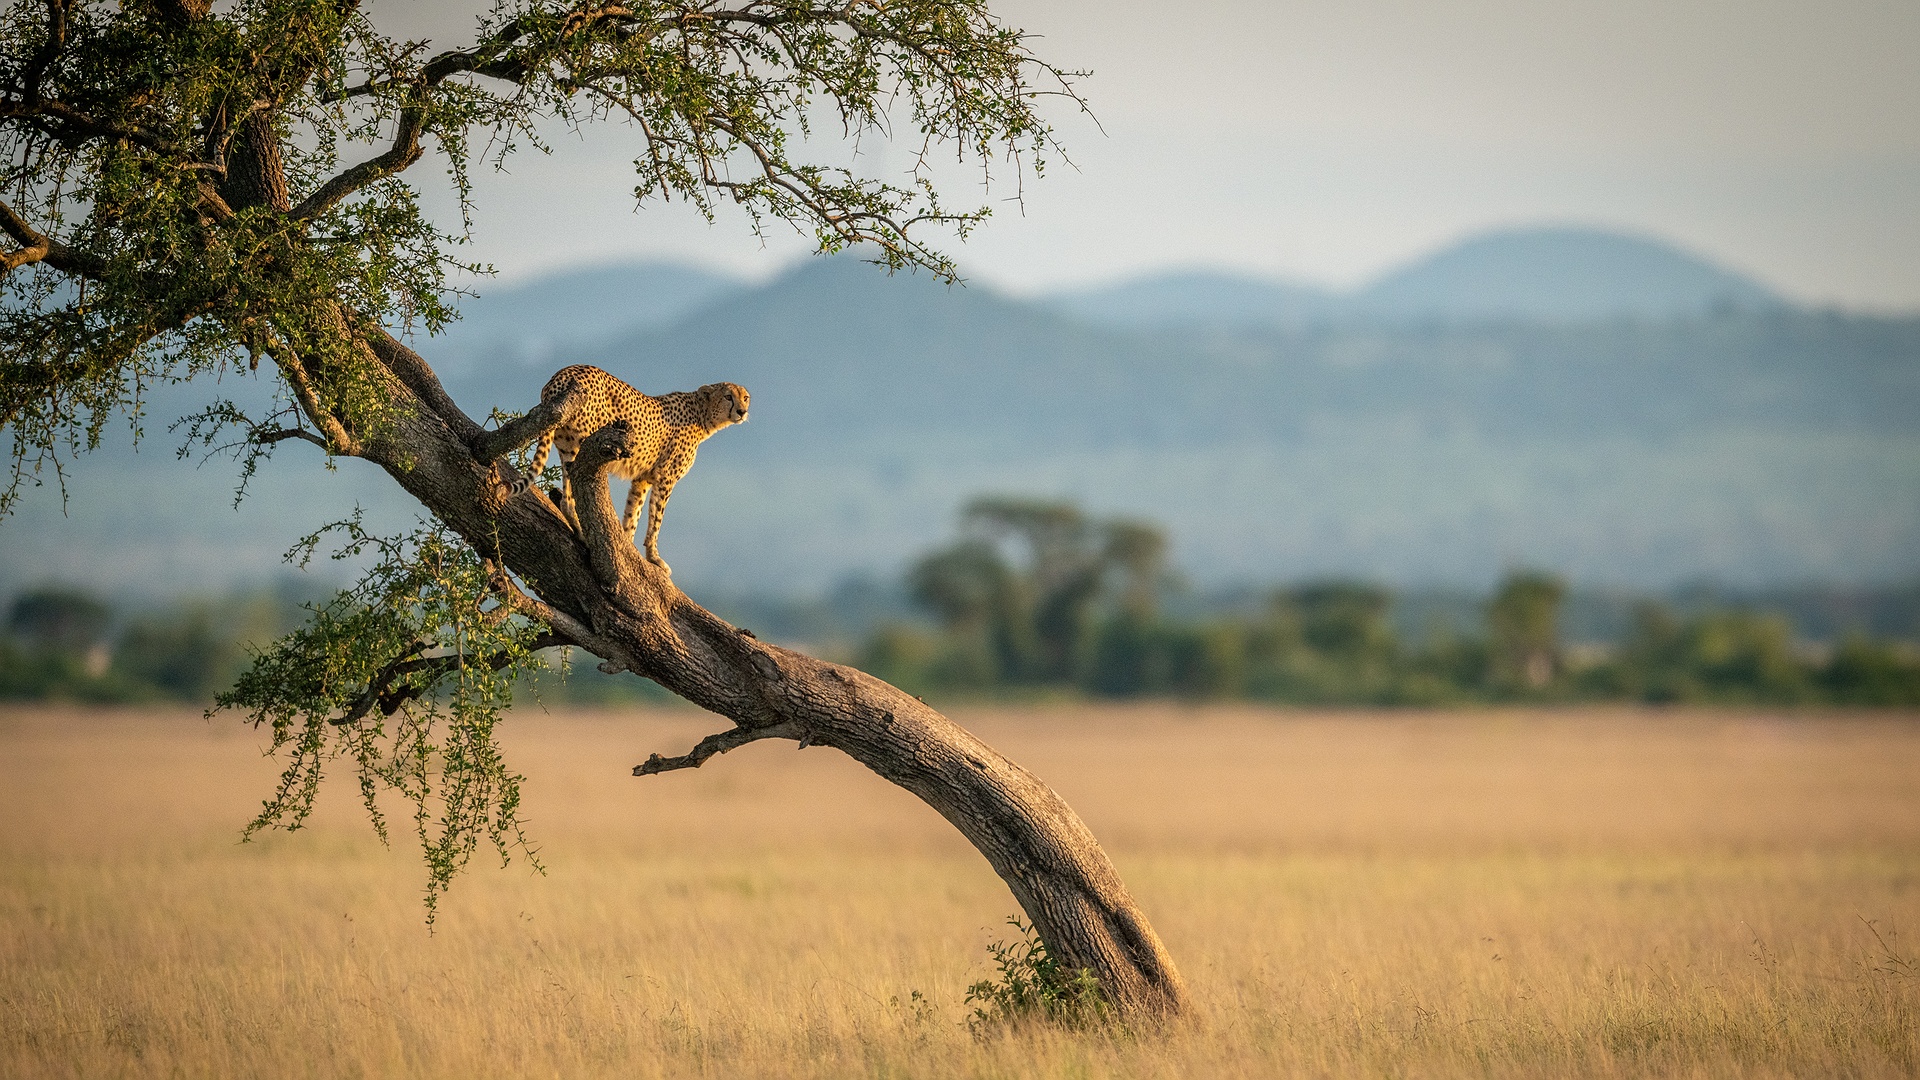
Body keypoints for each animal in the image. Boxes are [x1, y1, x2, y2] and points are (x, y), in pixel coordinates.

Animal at [507, 364, 749, 573]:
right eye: (728, 396)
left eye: (745, 397)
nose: (742, 411)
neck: (702, 414)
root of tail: (563, 373)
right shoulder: (666, 478)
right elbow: (656, 520)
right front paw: (654, 558)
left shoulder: (642, 479)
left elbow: (633, 514)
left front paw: (628, 548)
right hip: (589, 442)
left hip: (567, 448)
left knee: (567, 499)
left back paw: (581, 532)